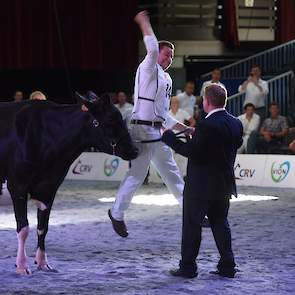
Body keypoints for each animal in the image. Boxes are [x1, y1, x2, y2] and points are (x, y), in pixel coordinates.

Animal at [0, 92, 139, 276]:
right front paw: (22, 265)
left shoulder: (49, 187)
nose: (135, 150)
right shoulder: (18, 186)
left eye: (121, 119)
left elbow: (43, 227)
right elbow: (23, 228)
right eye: (110, 120)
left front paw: (43, 262)